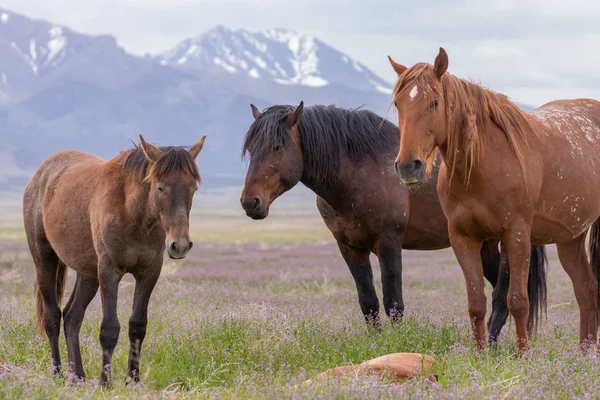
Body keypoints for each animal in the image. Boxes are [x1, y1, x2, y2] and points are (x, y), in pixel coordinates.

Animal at [22, 134, 206, 384]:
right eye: (160, 187)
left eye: (192, 188)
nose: (180, 245)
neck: (133, 214)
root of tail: (40, 174)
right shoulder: (109, 272)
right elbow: (109, 328)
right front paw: (105, 381)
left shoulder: (149, 272)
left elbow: (137, 325)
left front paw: (133, 379)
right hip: (44, 261)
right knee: (52, 318)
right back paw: (58, 374)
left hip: (88, 274)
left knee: (71, 317)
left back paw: (77, 376)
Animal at [239, 101, 548, 342]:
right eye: (251, 149)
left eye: (277, 146)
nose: (250, 202)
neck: (358, 175)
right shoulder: (350, 247)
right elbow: (368, 300)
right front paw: (376, 346)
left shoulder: (388, 243)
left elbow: (393, 301)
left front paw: (398, 344)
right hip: (485, 245)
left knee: (503, 292)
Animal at [386, 47, 600, 354]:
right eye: (398, 103)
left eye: (435, 102)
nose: (407, 166)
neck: (482, 165)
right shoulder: (463, 237)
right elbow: (477, 303)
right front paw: (479, 354)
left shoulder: (517, 235)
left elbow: (517, 300)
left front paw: (523, 354)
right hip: (570, 238)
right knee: (586, 289)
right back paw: (585, 353)